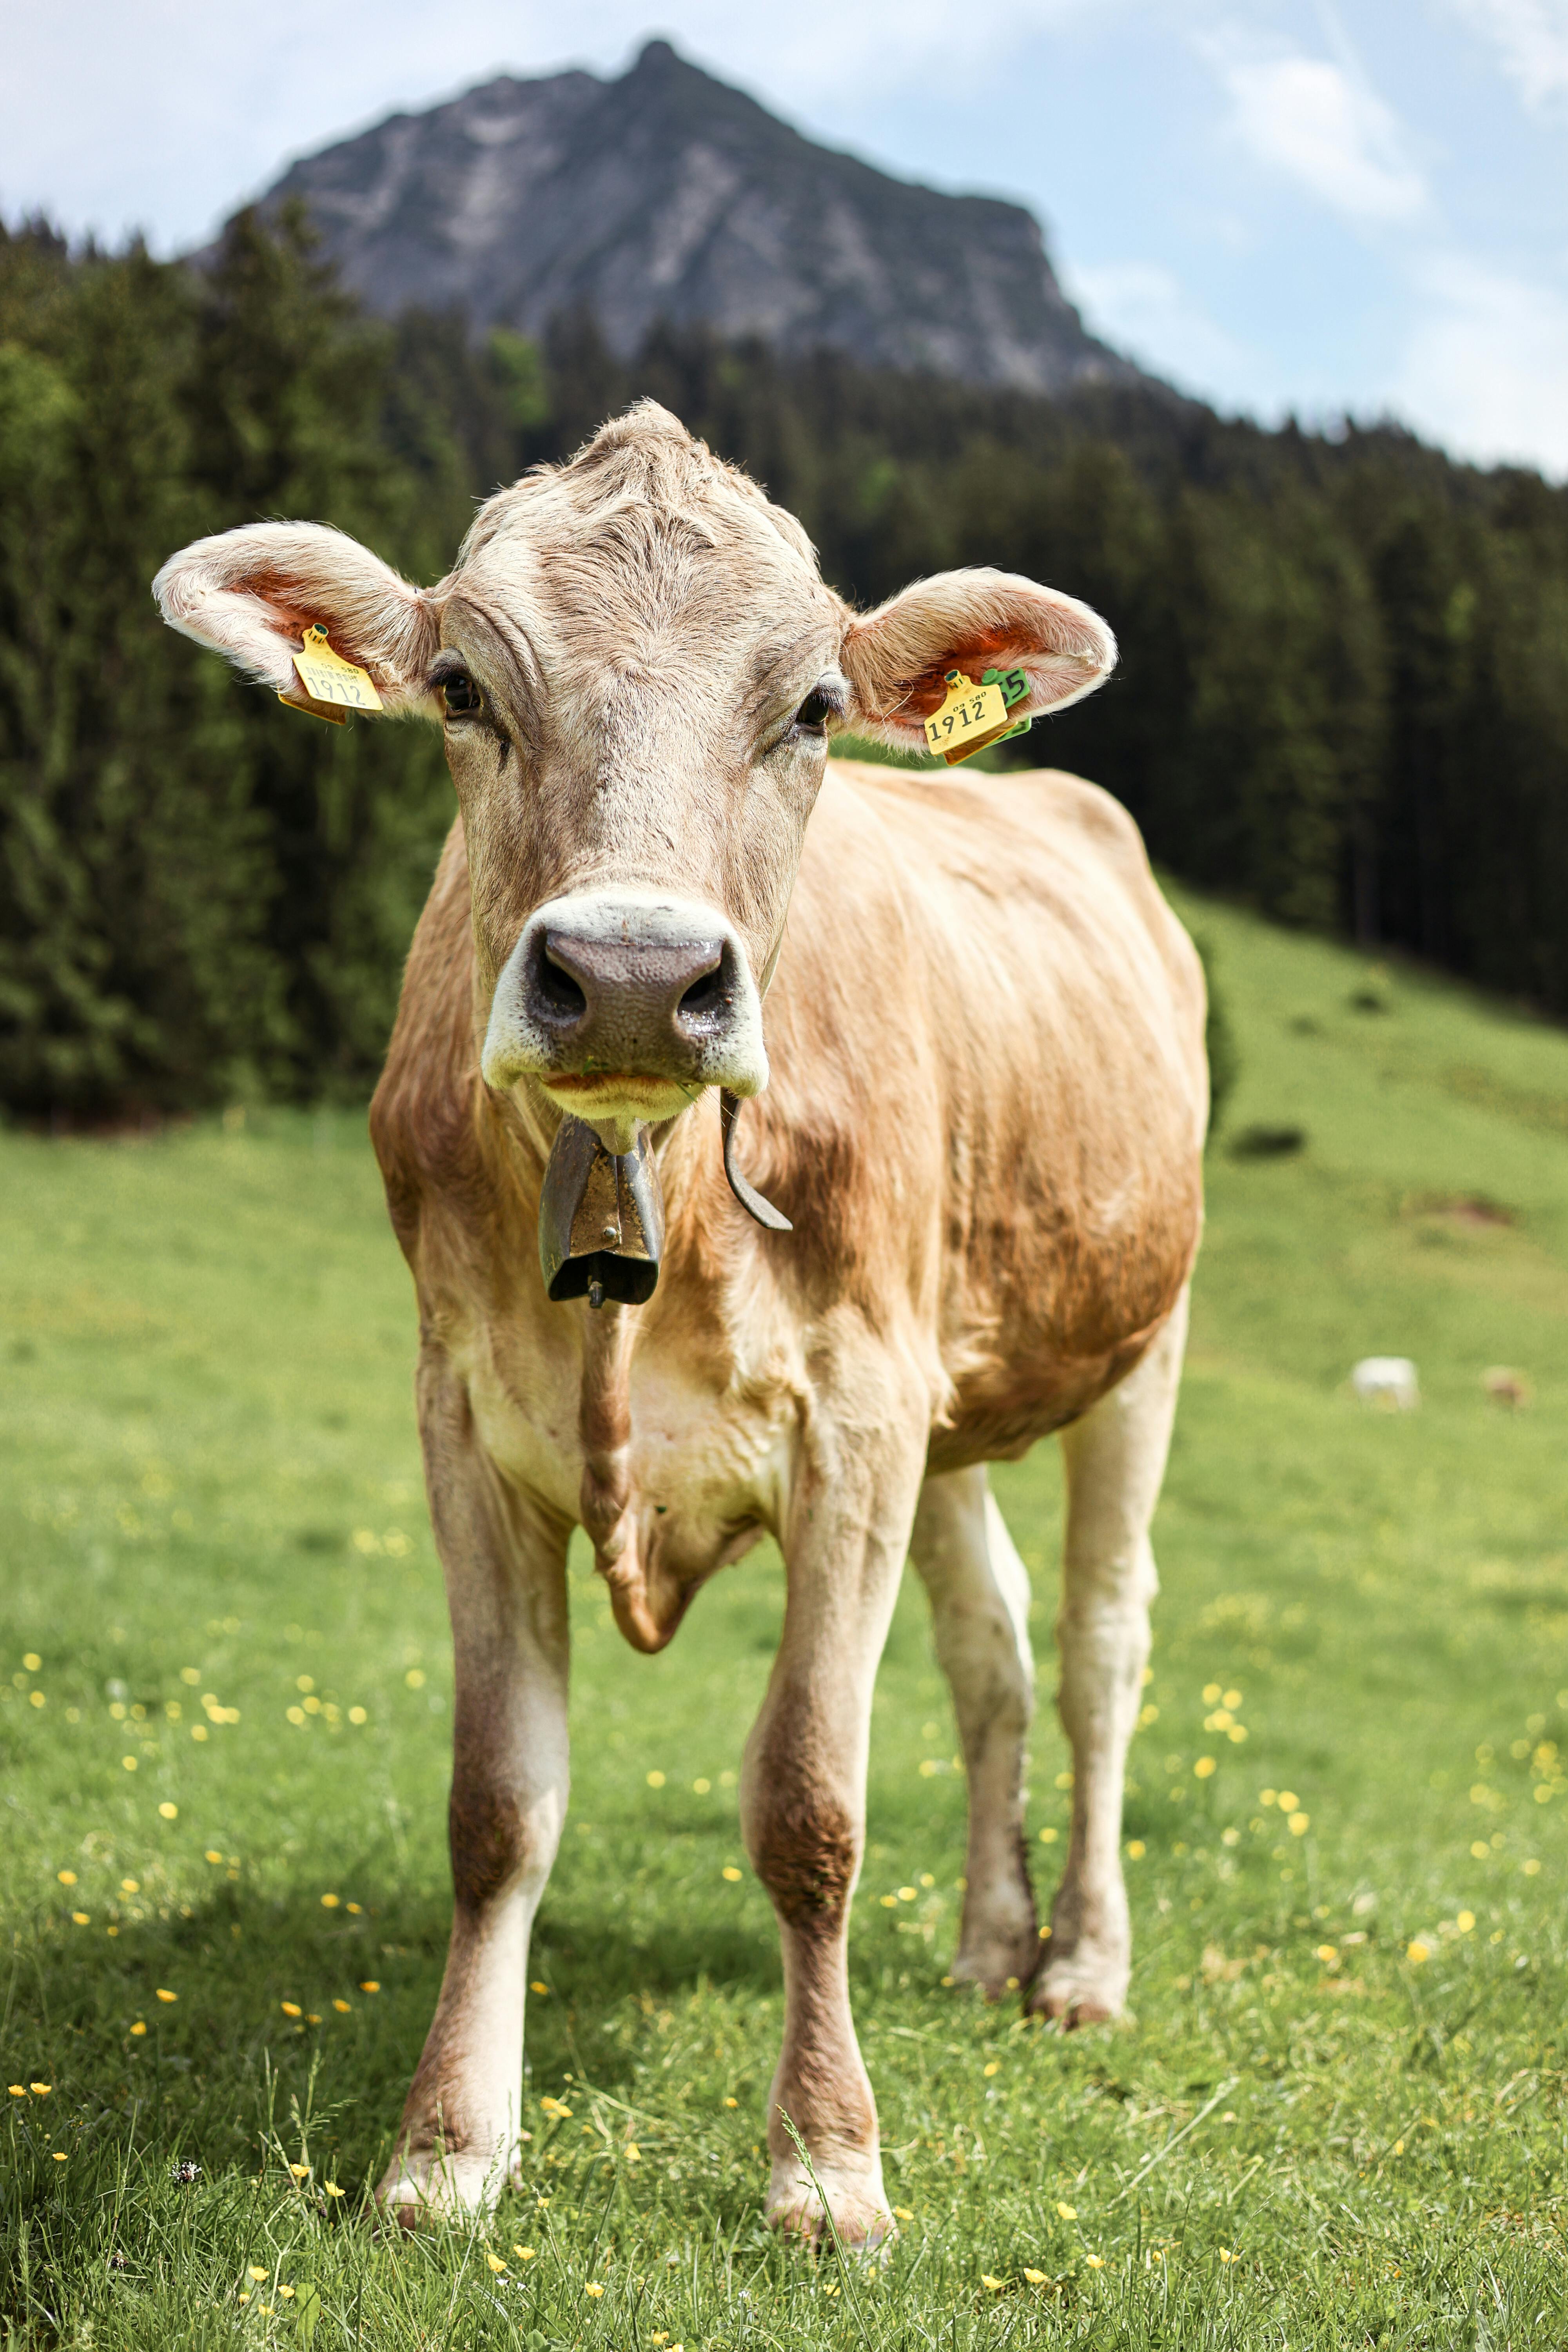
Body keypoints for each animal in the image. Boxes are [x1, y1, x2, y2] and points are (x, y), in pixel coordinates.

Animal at [153, 403, 1206, 2248]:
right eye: (460, 688)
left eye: (814, 708)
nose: (636, 977)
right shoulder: (464, 1416)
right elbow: (497, 1801)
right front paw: (447, 2147)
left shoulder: (853, 1418)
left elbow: (809, 1800)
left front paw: (828, 2163)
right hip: (952, 1401)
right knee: (991, 1647)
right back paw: (987, 1941)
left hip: (1138, 1342)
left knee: (1096, 1644)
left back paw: (1078, 1961)